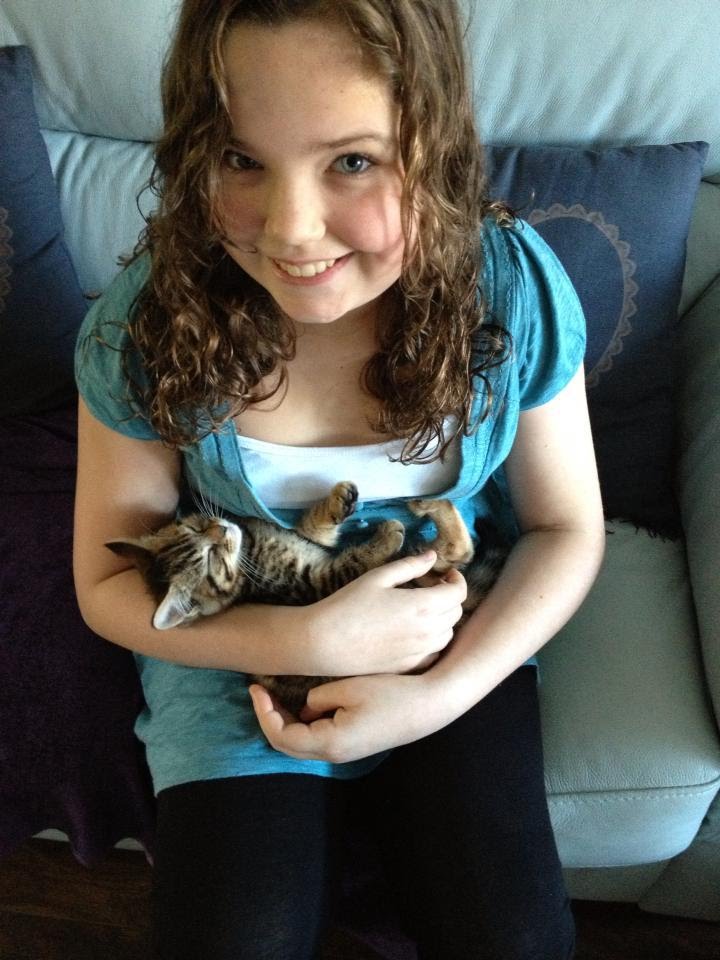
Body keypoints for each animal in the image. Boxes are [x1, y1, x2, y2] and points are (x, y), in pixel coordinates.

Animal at [106, 482, 508, 715]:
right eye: (209, 560)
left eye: (195, 526)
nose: (221, 529)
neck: (250, 551)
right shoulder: (316, 583)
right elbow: (351, 563)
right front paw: (384, 537)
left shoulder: (310, 546)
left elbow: (313, 528)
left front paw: (336, 501)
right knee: (455, 553)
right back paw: (421, 515)